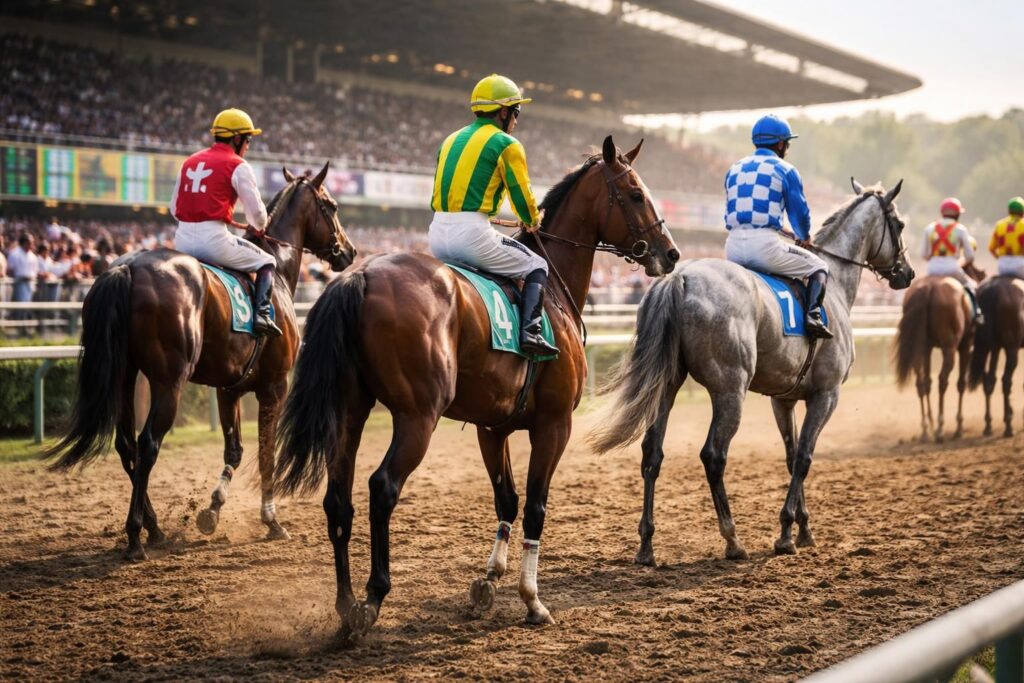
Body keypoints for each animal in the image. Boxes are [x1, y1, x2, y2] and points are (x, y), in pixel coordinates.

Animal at [46, 163, 356, 561]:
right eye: (331, 206)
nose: (349, 251)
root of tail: (127, 268)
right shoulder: (275, 386)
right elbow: (265, 453)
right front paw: (271, 521)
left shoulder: (228, 388)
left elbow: (235, 450)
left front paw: (212, 510)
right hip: (169, 380)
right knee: (148, 444)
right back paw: (136, 536)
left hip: (124, 374)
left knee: (126, 445)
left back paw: (154, 527)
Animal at [273, 136, 680, 637]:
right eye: (637, 194)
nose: (671, 253)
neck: (553, 289)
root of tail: (361, 275)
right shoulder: (554, 424)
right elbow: (536, 505)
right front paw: (531, 599)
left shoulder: (493, 427)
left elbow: (506, 498)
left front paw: (489, 580)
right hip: (417, 416)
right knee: (383, 487)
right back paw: (372, 598)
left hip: (350, 410)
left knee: (338, 499)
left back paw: (346, 604)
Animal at [589, 179, 914, 566]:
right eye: (900, 224)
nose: (908, 273)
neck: (833, 284)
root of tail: (679, 279)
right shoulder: (827, 394)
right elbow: (804, 458)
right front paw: (786, 534)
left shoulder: (783, 399)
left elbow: (790, 456)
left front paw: (803, 529)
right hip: (730, 390)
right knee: (713, 456)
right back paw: (732, 540)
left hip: (665, 386)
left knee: (652, 454)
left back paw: (646, 545)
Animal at [893, 263, 985, 442]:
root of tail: (928, 288)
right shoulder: (966, 345)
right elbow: (961, 383)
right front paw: (959, 426)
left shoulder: (927, 348)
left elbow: (927, 381)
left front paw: (930, 423)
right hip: (949, 347)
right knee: (943, 380)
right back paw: (940, 428)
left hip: (920, 345)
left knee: (921, 382)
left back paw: (925, 429)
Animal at [968, 276, 1024, 437]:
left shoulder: (994, 347)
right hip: (1011, 348)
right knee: (1005, 381)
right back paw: (1008, 426)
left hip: (990, 346)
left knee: (989, 380)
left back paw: (988, 426)